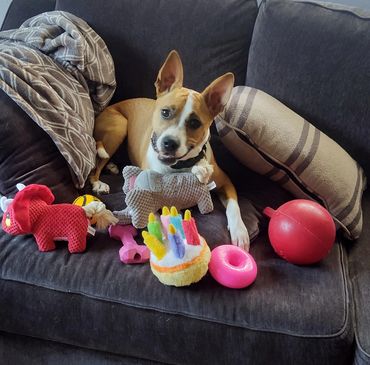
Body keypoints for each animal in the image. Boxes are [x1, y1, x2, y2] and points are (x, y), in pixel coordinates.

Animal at [90, 51, 250, 249]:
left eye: (195, 123)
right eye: (165, 112)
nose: (169, 143)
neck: (180, 167)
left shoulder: (225, 182)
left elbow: (234, 206)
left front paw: (240, 232)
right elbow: (157, 218)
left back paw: (111, 166)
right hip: (119, 126)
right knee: (94, 166)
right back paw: (98, 182)